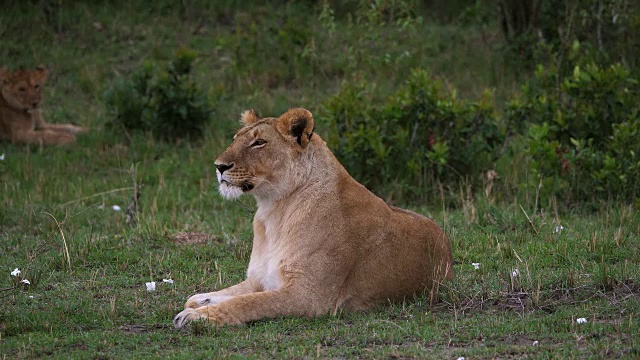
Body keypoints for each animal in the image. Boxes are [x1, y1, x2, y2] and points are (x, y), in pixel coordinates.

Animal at [174, 107, 456, 330]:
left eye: (259, 142)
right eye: (235, 139)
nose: (219, 166)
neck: (273, 210)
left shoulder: (309, 295)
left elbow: (250, 302)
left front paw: (197, 317)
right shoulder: (260, 279)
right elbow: (229, 294)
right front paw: (200, 301)